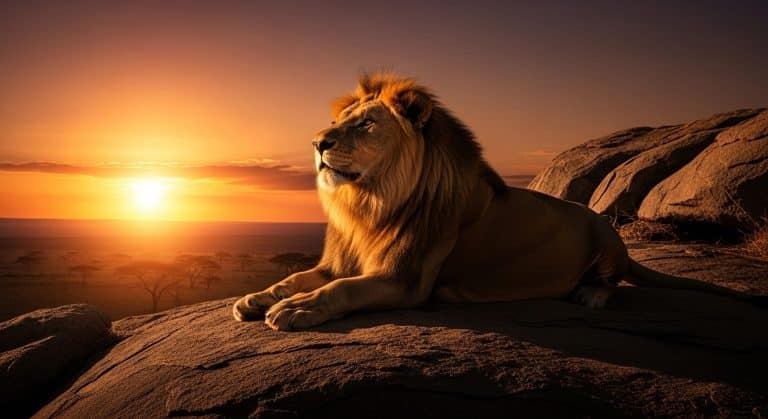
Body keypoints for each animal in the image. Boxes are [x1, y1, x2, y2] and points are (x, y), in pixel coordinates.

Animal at [233, 73, 765, 331]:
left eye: (365, 124)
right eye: (340, 121)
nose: (317, 142)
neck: (367, 202)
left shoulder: (405, 282)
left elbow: (339, 291)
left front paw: (296, 310)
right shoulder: (337, 261)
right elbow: (296, 277)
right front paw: (258, 298)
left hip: (605, 232)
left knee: (612, 280)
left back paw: (589, 294)